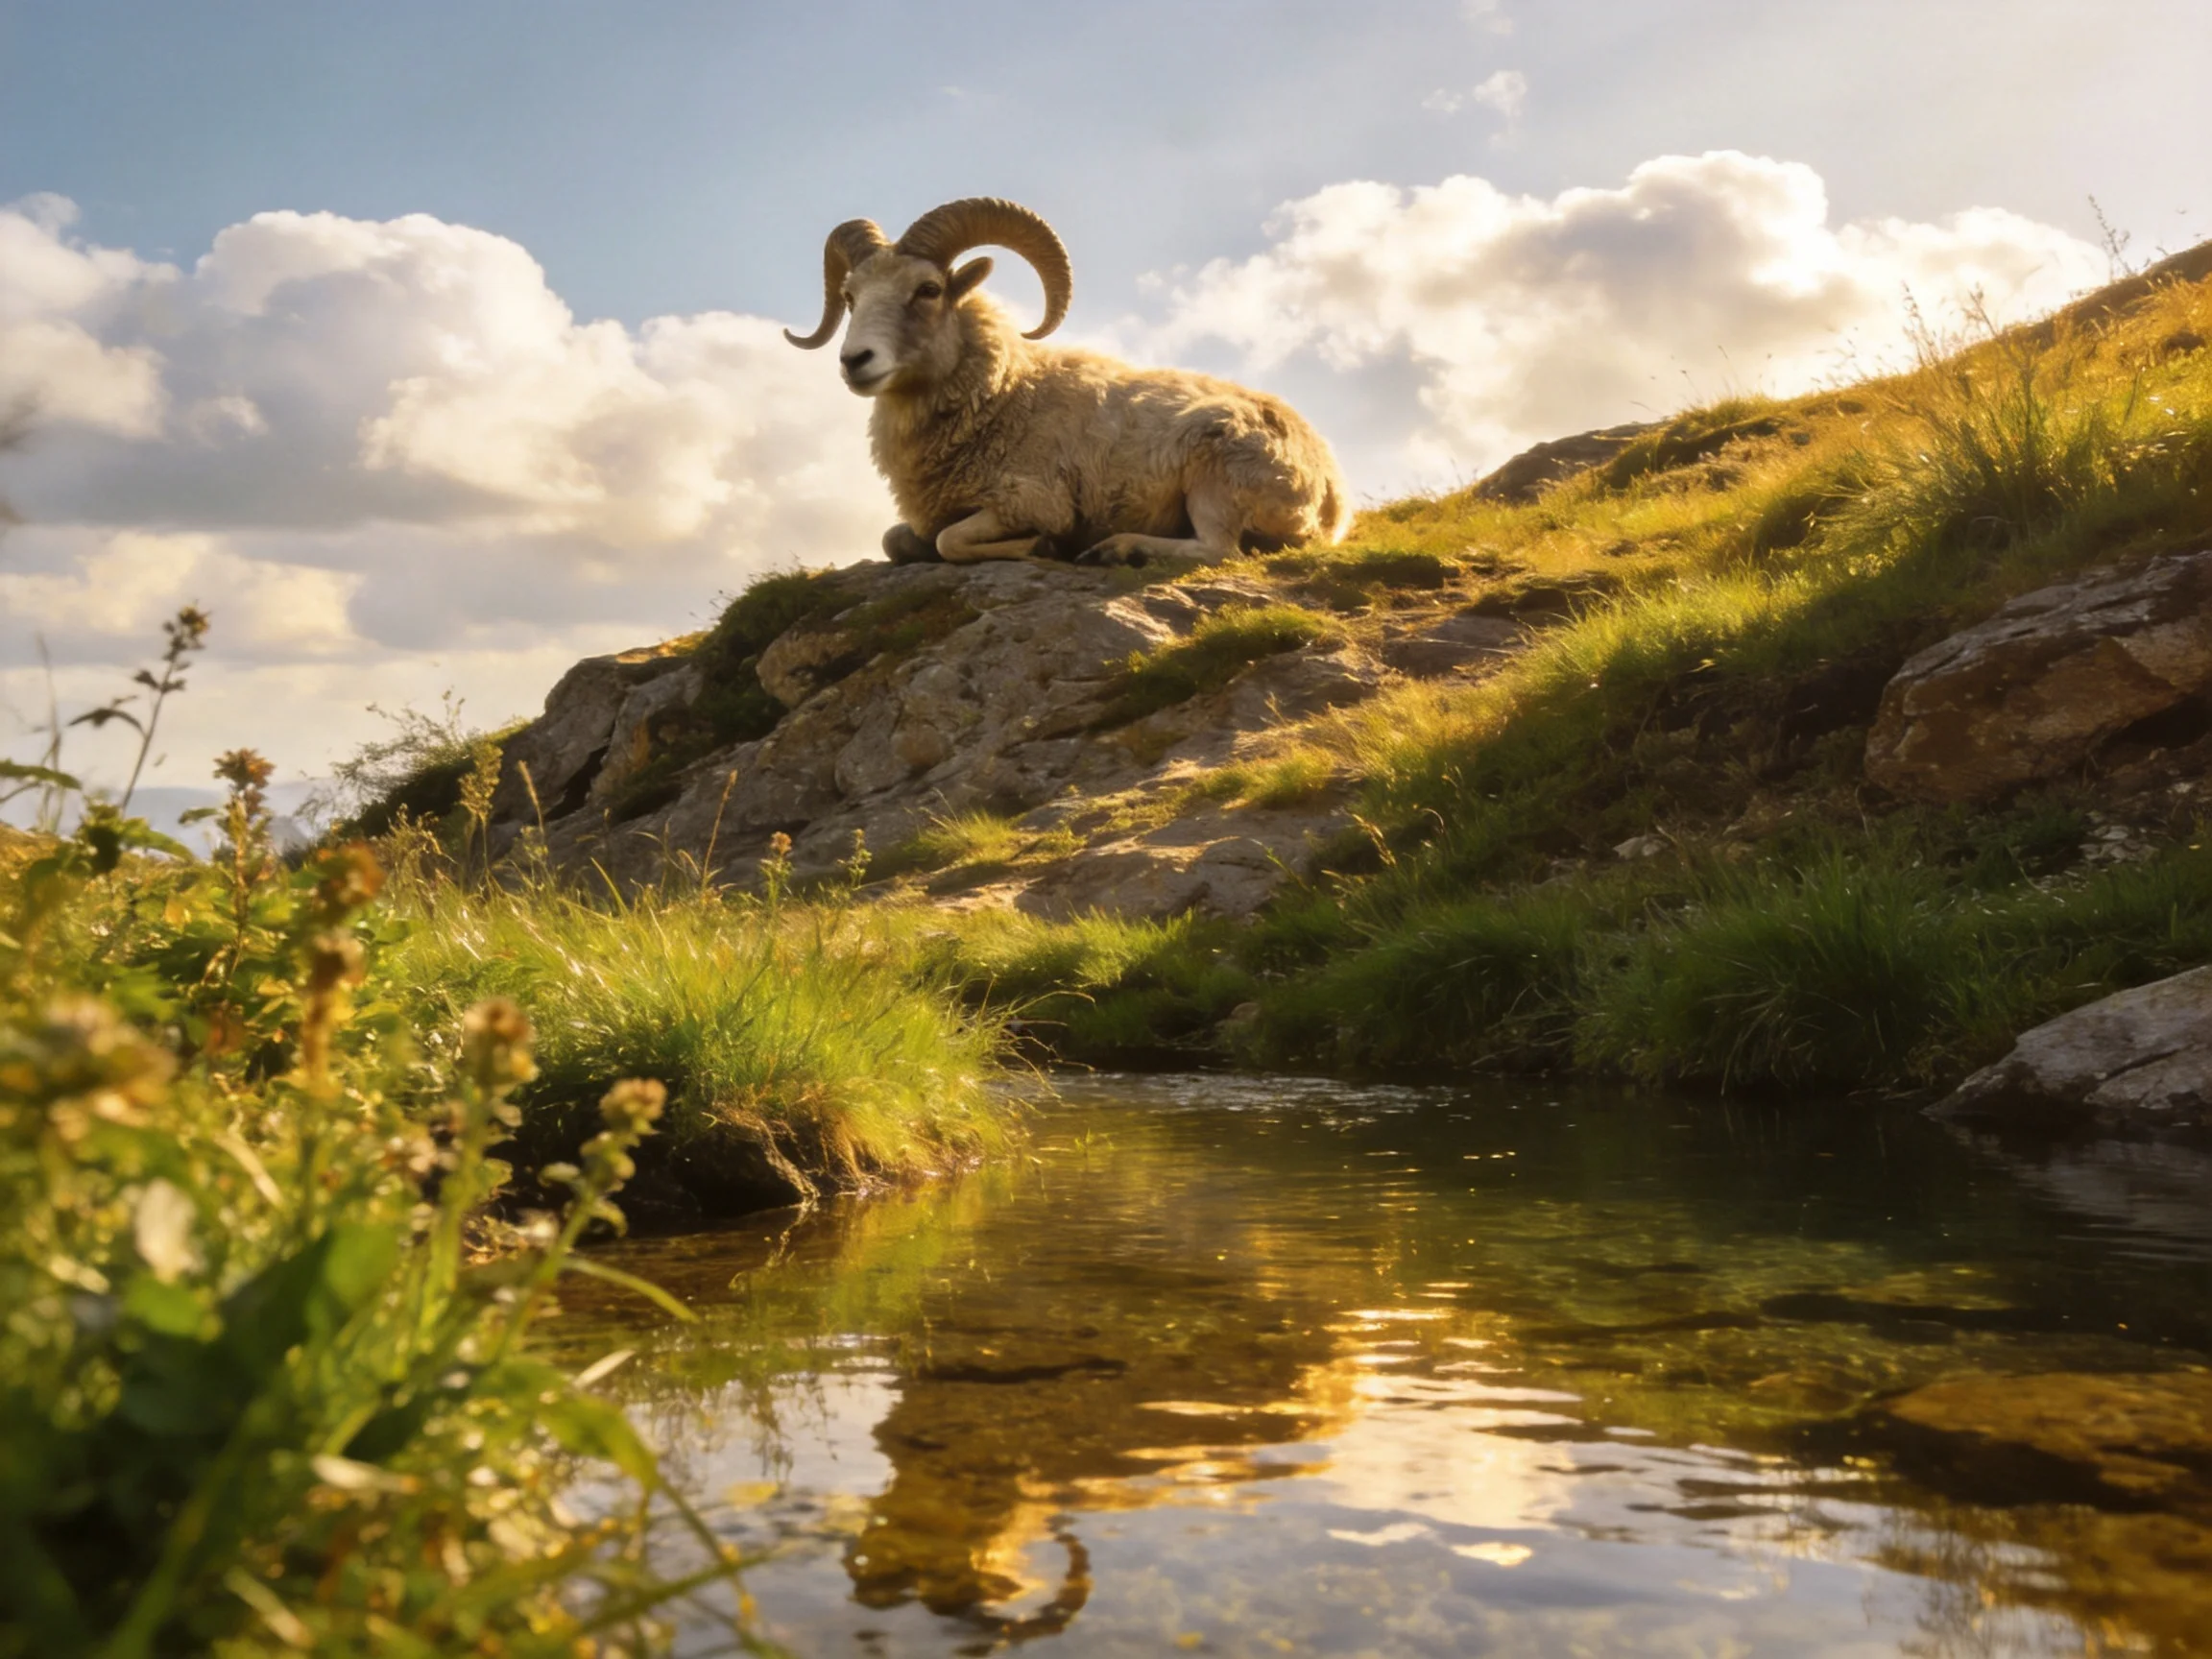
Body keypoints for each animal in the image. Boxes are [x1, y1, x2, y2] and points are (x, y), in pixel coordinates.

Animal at [785, 197, 1352, 568]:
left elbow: (951, 541)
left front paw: (1042, 547)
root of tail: (1330, 492)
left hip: (1219, 475)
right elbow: (895, 541)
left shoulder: (1033, 500)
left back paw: (1117, 549)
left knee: (1219, 550)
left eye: (927, 289)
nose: (854, 360)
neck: (1006, 394)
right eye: (851, 297)